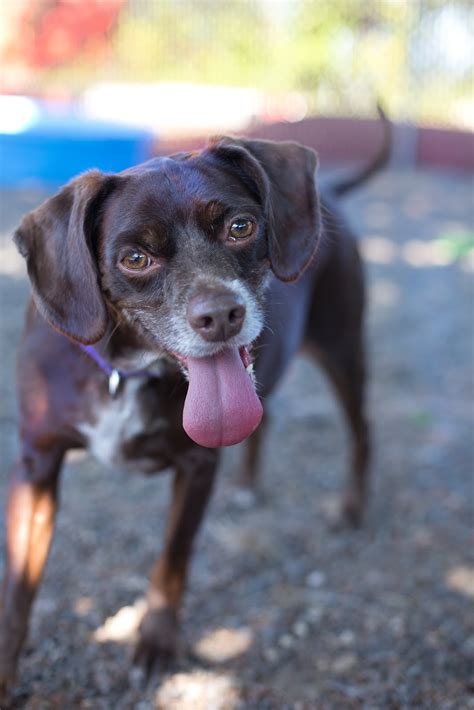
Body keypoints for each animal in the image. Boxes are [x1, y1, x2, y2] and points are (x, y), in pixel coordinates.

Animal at [0, 114, 388, 700]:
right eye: (135, 259)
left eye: (240, 227)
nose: (221, 315)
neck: (126, 370)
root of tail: (331, 196)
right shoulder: (36, 465)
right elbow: (18, 592)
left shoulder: (196, 465)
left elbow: (172, 562)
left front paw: (156, 645)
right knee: (267, 416)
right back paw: (249, 486)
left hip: (342, 346)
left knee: (360, 428)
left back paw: (352, 507)